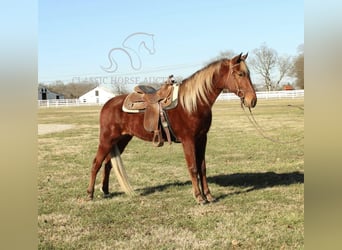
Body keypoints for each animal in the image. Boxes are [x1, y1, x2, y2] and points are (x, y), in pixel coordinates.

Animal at [87, 52, 256, 203]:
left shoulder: (202, 138)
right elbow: (193, 167)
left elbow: (202, 168)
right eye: (240, 74)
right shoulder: (188, 140)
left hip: (122, 139)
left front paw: (208, 195)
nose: (252, 100)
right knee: (96, 163)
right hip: (107, 139)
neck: (193, 103)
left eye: (248, 73)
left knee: (108, 164)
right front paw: (199, 197)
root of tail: (107, 104)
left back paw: (106, 191)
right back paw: (90, 194)